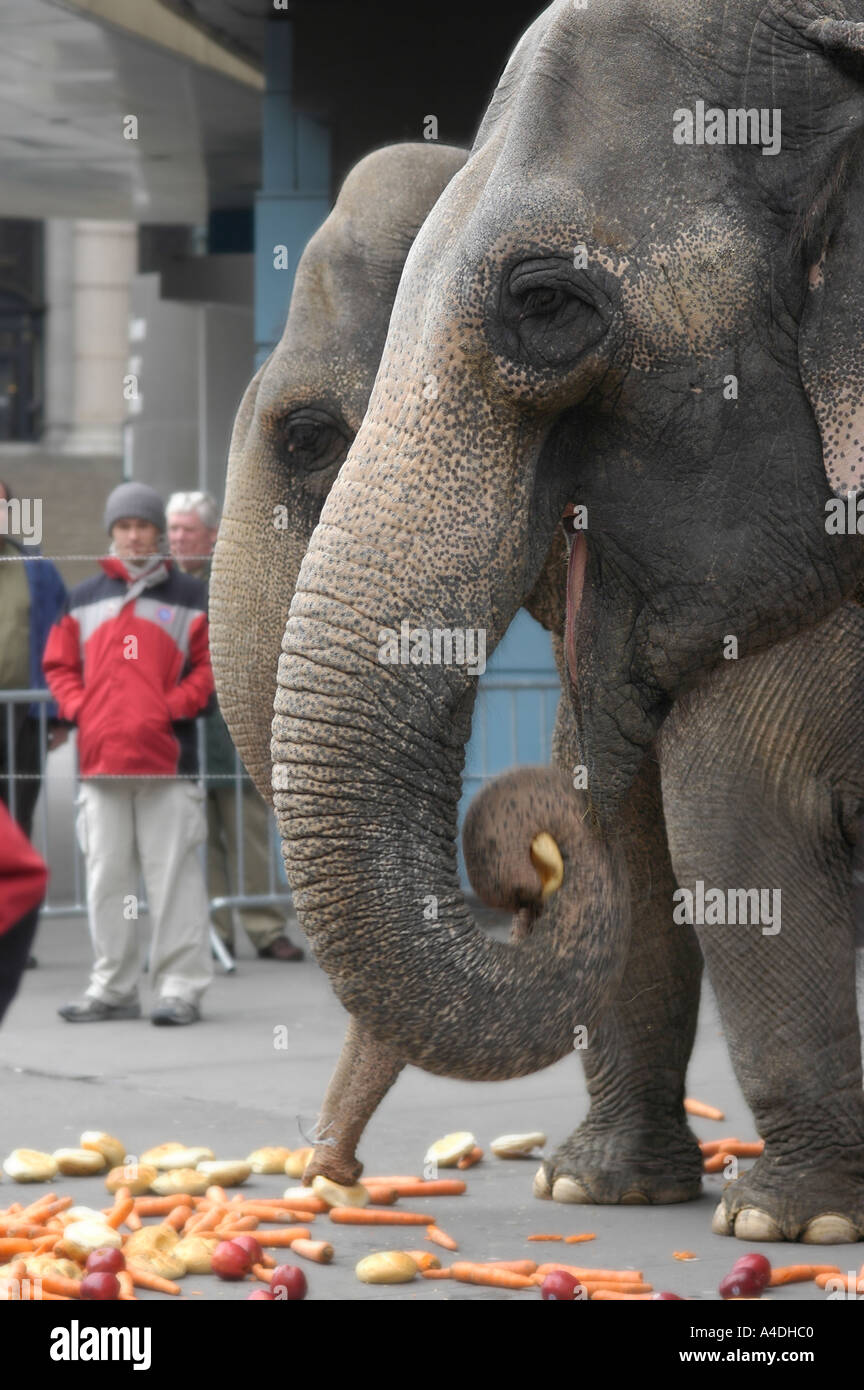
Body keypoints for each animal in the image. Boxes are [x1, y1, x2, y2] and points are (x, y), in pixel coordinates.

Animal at [267, 0, 864, 1240]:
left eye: (544, 305)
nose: (327, 1171)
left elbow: (735, 819)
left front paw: (786, 1224)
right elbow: (638, 831)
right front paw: (597, 1186)